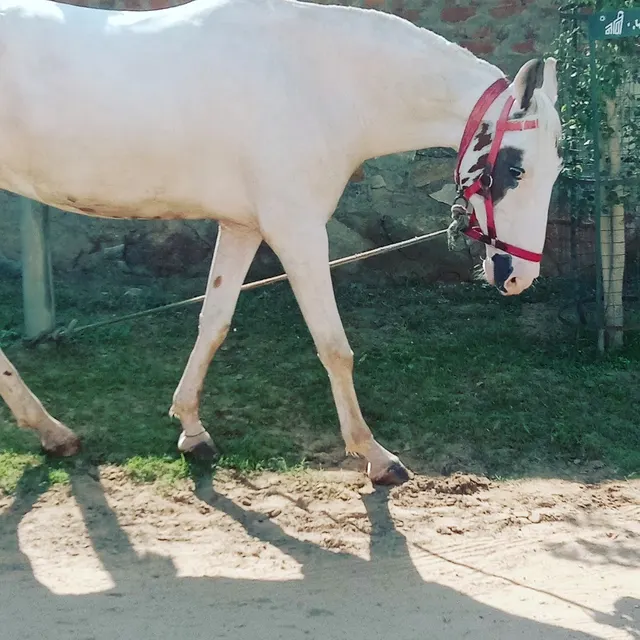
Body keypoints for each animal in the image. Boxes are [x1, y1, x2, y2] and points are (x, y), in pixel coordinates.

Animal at [0, 0, 563, 485]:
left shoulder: (243, 227)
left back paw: (52, 433)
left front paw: (192, 431)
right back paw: (51, 431)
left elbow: (214, 323)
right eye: (515, 169)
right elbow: (334, 346)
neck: (320, 83)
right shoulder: (297, 230)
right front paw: (375, 456)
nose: (519, 276)